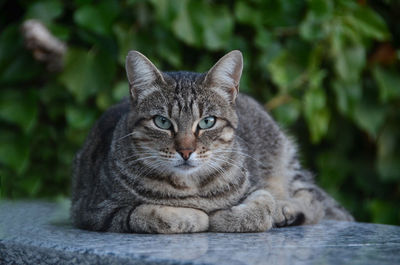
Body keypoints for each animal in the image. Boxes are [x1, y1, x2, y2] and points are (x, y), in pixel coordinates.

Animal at [71, 50, 354, 233]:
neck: (190, 186)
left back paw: (286, 209)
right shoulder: (95, 210)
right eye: (162, 122)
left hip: (283, 158)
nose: (186, 151)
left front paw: (225, 216)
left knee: (312, 198)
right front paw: (195, 216)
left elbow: (262, 207)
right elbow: (144, 212)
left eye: (207, 122)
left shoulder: (254, 186)